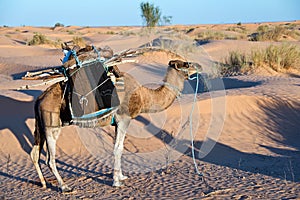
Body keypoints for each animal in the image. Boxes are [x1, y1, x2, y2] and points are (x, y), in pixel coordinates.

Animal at [29, 45, 202, 192]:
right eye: (187, 64)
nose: (199, 66)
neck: (143, 96)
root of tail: (40, 99)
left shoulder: (117, 123)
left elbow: (119, 147)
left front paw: (121, 176)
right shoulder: (124, 118)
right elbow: (118, 148)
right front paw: (116, 182)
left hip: (42, 126)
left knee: (34, 153)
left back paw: (43, 183)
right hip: (51, 125)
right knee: (50, 158)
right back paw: (65, 187)